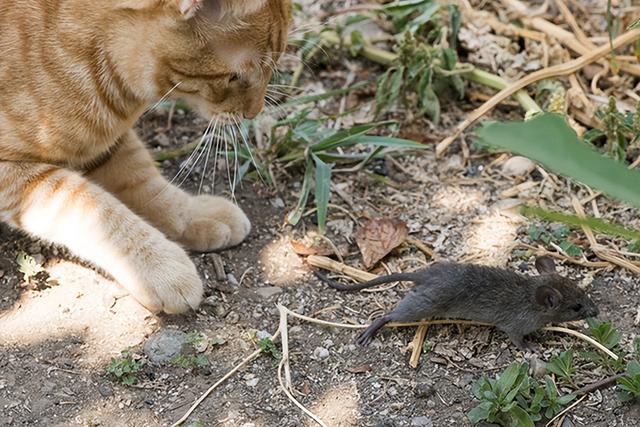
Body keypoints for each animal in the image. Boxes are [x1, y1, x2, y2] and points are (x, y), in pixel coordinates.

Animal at [0, 0, 292, 314]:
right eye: (235, 76)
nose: (255, 111)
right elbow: (96, 208)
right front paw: (162, 268)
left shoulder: (107, 144)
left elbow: (150, 187)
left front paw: (193, 215)